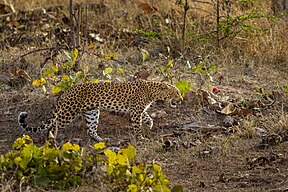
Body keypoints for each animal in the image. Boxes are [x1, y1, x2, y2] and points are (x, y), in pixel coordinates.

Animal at [18, 79, 182, 142]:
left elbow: (147, 116)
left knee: (90, 130)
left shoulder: (138, 110)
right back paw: (51, 138)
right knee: (53, 125)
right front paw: (140, 137)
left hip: (92, 112)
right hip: (67, 113)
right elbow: (137, 125)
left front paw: (150, 124)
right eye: (176, 92)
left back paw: (101, 140)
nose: (181, 99)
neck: (152, 92)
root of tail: (66, 92)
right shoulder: (135, 111)